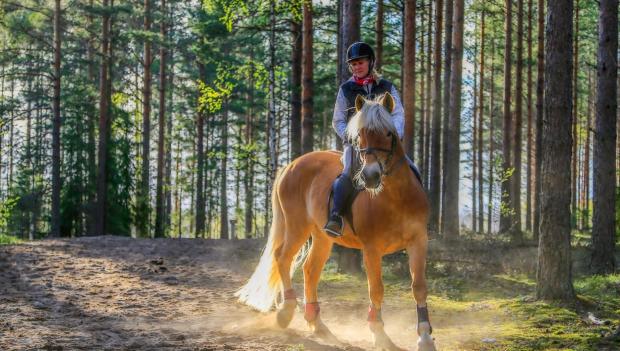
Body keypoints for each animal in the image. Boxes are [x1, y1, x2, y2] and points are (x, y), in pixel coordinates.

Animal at [234, 93, 436, 351]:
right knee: (283, 257)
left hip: (321, 236)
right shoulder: (371, 249)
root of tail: (290, 165)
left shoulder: (418, 241)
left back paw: (318, 324)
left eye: (389, 133)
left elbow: (419, 287)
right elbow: (376, 289)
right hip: (297, 226)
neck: (395, 197)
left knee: (310, 269)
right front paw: (380, 334)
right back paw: (286, 312)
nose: (370, 176)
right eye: (360, 135)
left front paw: (425, 337)